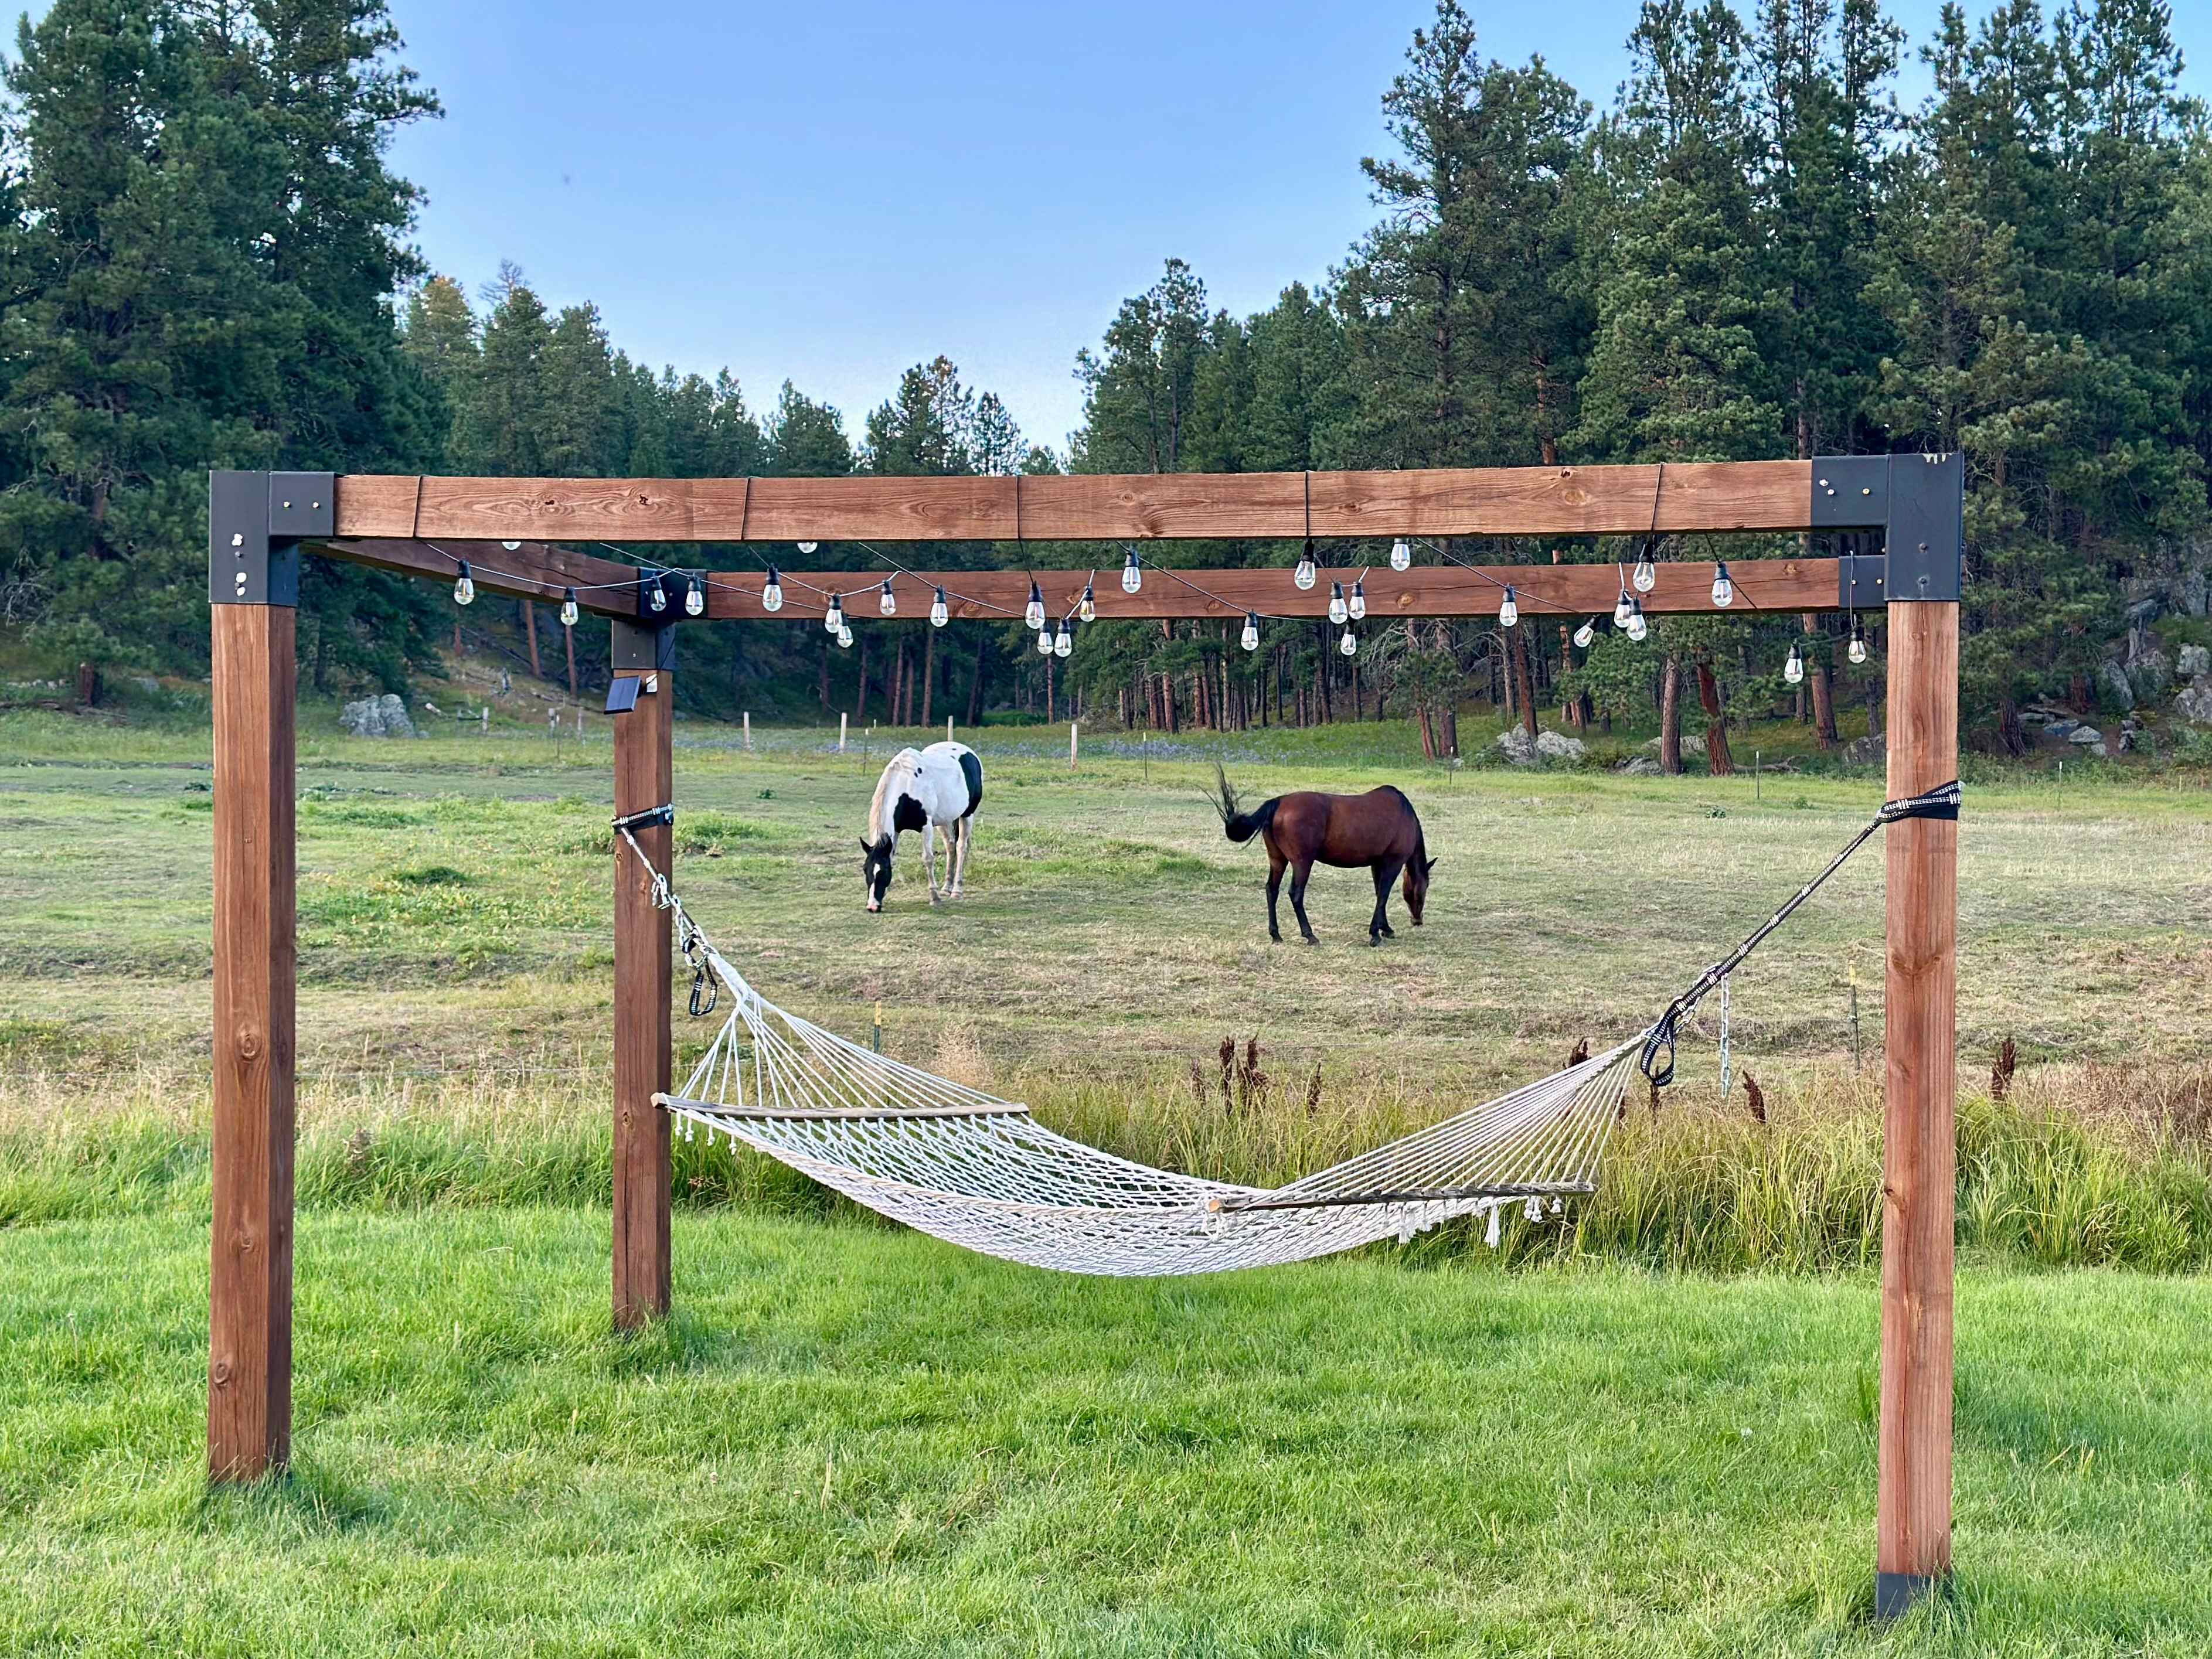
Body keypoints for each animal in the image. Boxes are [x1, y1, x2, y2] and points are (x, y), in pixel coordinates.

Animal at [862, 741, 983, 912]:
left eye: (883, 871)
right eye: (865, 869)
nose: (872, 907)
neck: (907, 786)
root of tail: (970, 753)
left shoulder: (926, 827)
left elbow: (928, 858)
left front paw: (934, 897)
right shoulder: (896, 830)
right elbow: (892, 855)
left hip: (967, 815)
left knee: (961, 848)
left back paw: (957, 891)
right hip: (944, 820)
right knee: (950, 846)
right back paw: (947, 887)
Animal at [1211, 766, 1433, 946]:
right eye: (1424, 887)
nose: (1418, 920)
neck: (1405, 815)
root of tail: (1279, 802)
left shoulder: (1377, 864)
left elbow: (1380, 893)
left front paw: (1385, 929)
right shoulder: (1393, 862)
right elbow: (1384, 895)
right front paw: (1375, 934)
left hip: (1278, 860)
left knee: (1271, 890)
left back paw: (1276, 935)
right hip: (1302, 862)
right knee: (1296, 894)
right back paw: (1310, 935)